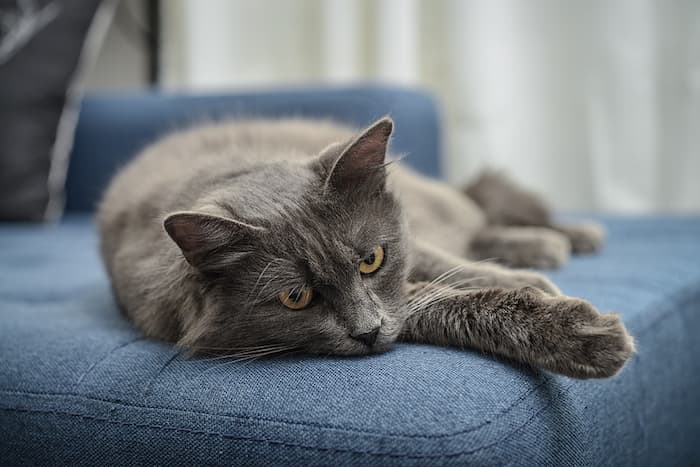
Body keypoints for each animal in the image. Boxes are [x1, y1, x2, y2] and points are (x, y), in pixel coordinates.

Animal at [97, 116, 636, 380]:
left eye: (371, 260)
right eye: (296, 298)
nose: (368, 333)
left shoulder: (410, 251)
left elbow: (443, 265)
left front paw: (529, 284)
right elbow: (438, 299)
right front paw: (581, 331)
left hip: (440, 203)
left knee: (478, 219)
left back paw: (563, 238)